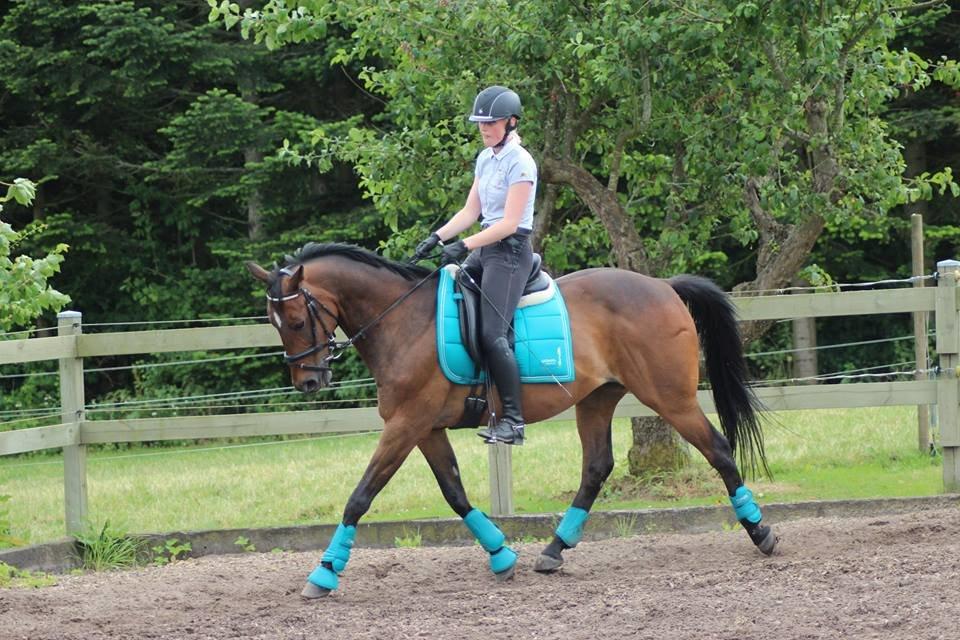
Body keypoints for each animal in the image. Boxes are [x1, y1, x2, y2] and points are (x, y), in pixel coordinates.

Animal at [246, 242, 776, 599]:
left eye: (296, 321)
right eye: (275, 324)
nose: (308, 382)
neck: (403, 321)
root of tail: (663, 286)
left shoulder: (405, 425)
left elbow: (360, 496)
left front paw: (324, 572)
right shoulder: (425, 428)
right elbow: (455, 493)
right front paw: (501, 554)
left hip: (671, 397)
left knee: (718, 450)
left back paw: (761, 533)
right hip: (597, 399)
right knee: (596, 468)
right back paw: (554, 550)